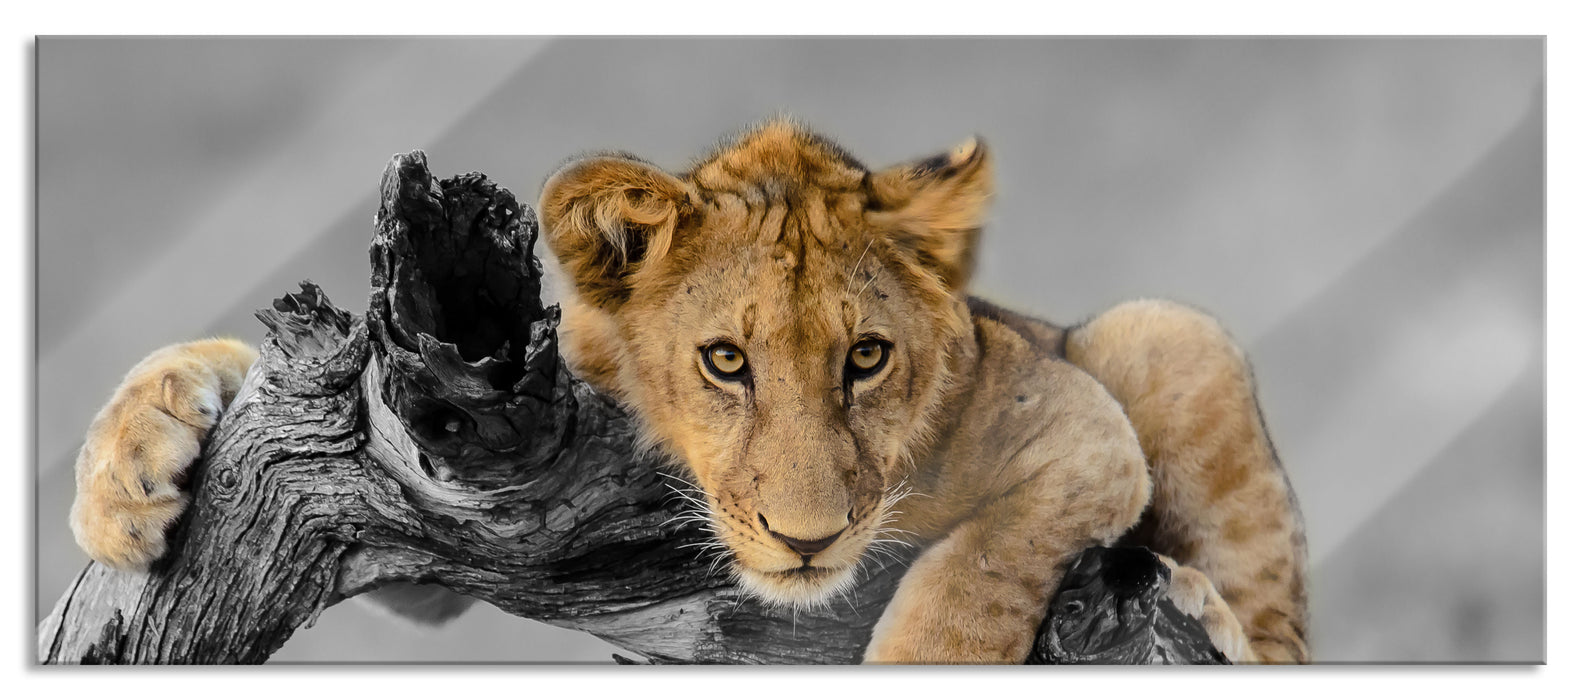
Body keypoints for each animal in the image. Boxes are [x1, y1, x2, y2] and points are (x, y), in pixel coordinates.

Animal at [67, 121, 1309, 664]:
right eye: (725, 361)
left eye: (867, 358)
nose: (806, 539)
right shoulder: (445, 477)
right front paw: (126, 473)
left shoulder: (1078, 431)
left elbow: (972, 580)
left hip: (1162, 332)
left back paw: (1207, 612)